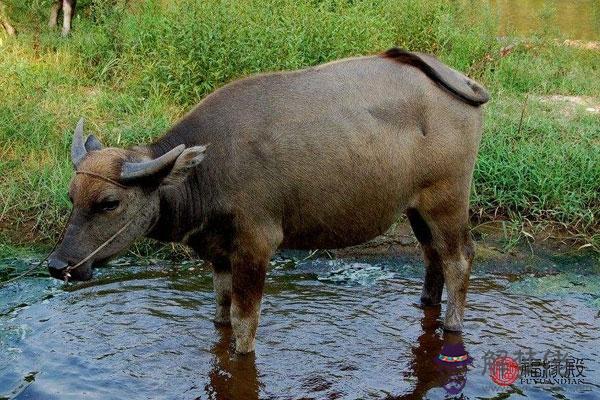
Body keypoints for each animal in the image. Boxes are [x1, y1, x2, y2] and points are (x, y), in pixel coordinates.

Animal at [47, 48, 488, 352]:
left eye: (108, 202)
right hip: (417, 208)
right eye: (71, 196)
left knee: (459, 258)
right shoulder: (219, 253)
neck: (207, 170)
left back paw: (453, 327)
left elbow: (245, 324)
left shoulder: (255, 247)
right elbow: (221, 311)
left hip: (447, 200)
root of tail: (457, 80)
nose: (57, 264)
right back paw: (425, 305)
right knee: (431, 256)